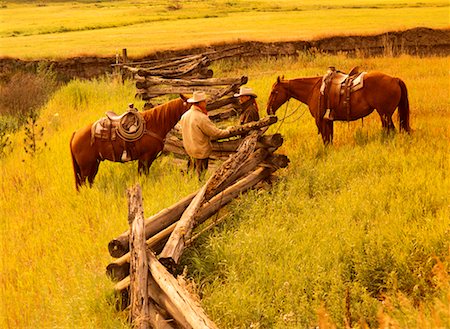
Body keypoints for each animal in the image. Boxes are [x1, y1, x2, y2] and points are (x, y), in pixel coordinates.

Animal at [268, 71, 412, 143]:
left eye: (274, 92)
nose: (268, 109)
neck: (313, 90)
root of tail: (394, 79)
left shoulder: (321, 121)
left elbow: (326, 140)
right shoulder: (328, 121)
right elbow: (329, 138)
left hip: (385, 114)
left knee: (390, 130)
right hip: (385, 115)